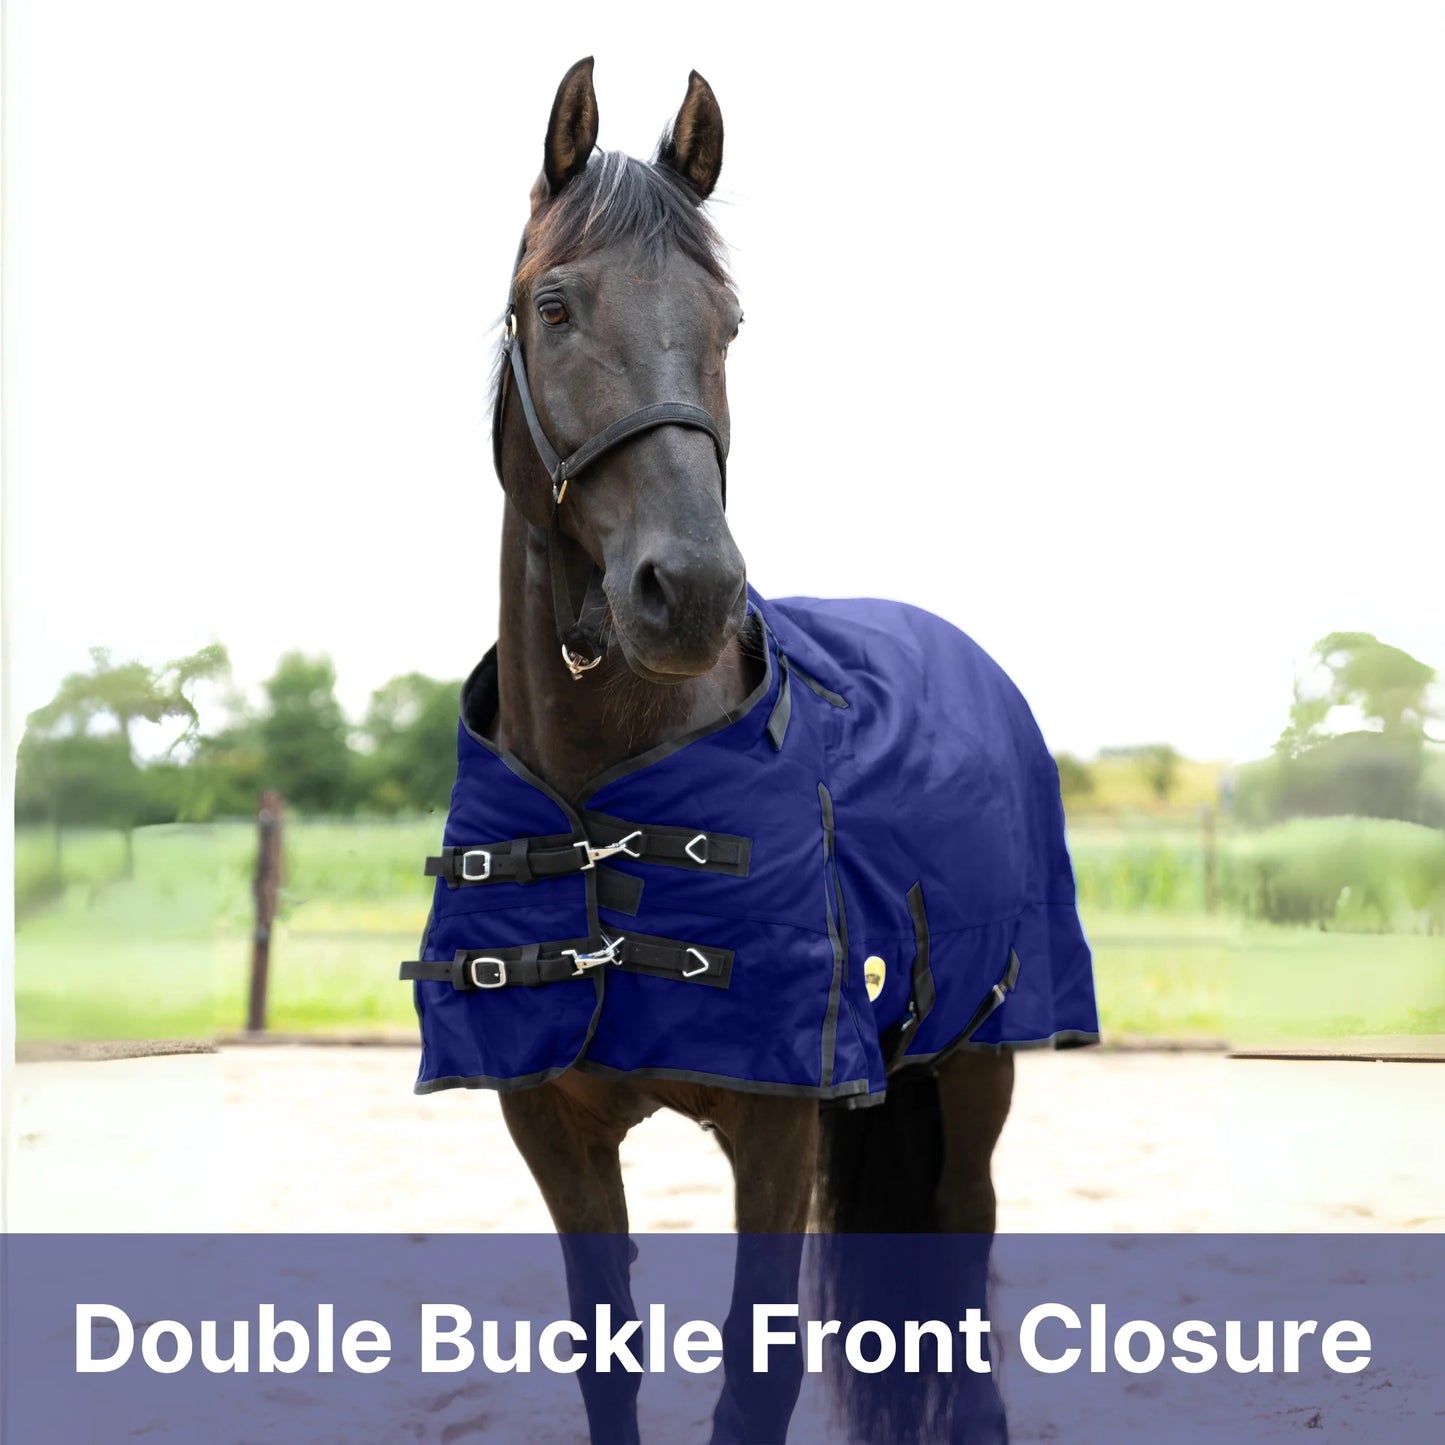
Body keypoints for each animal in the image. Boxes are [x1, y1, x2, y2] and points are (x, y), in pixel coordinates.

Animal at [403, 56, 1096, 1444]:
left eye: (727, 322)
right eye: (553, 306)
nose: (690, 592)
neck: (603, 792)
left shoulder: (776, 1131)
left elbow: (752, 1374)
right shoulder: (552, 1129)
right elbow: (606, 1359)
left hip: (977, 1066)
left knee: (961, 1257)